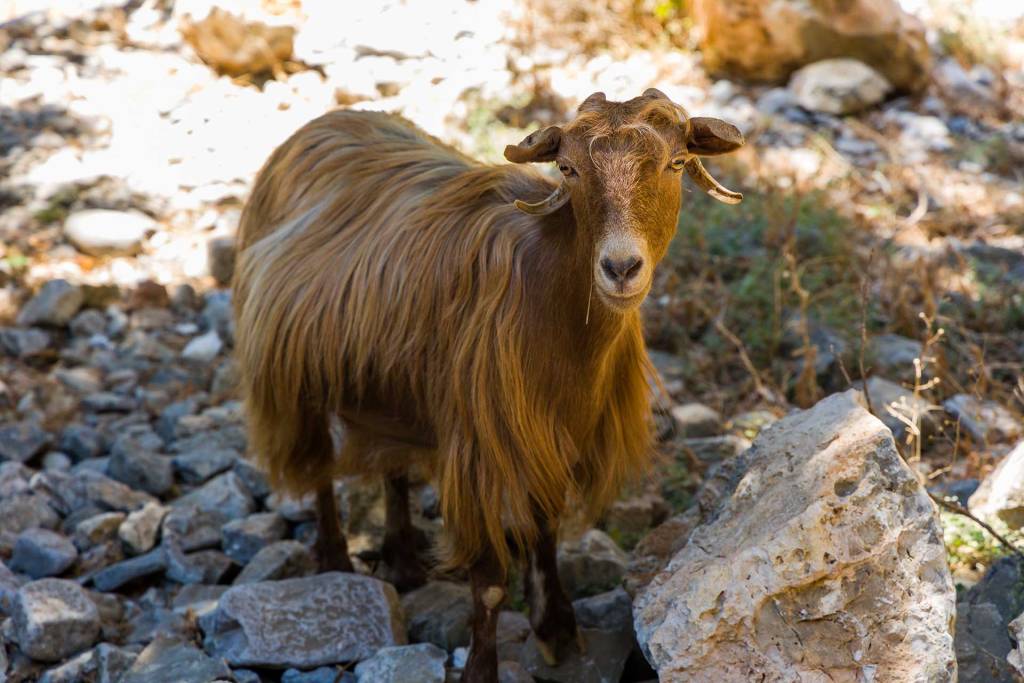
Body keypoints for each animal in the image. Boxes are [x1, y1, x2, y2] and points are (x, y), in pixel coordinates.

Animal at [232, 88, 744, 682]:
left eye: (677, 163)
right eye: (568, 169)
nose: (620, 268)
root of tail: (318, 126)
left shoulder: (551, 437)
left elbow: (545, 533)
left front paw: (556, 629)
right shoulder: (479, 451)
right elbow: (491, 583)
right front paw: (483, 668)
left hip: (390, 384)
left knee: (392, 467)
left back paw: (403, 560)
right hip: (294, 373)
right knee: (318, 469)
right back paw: (336, 558)